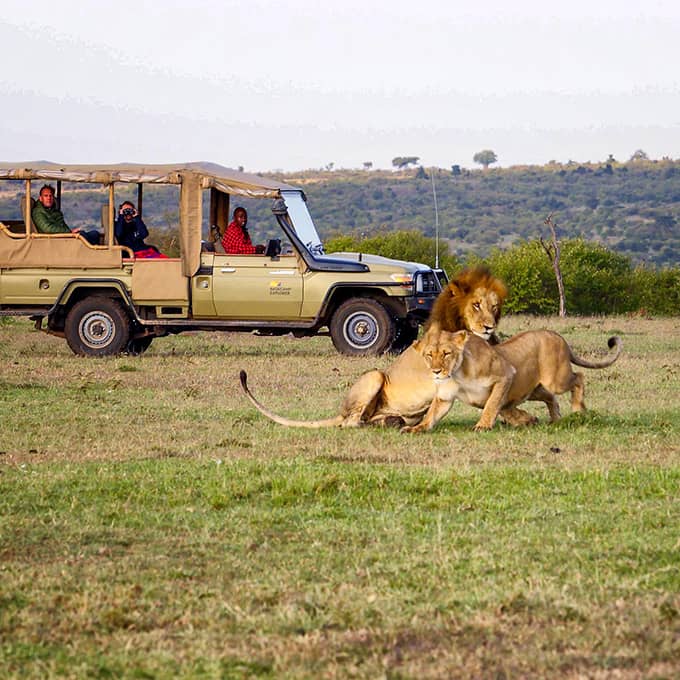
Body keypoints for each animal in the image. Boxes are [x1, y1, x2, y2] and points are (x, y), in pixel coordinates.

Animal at [402, 326, 624, 432]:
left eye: (447, 353)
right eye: (429, 355)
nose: (436, 371)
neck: (456, 374)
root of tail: (558, 336)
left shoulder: (505, 374)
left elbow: (492, 404)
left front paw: (483, 426)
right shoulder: (445, 397)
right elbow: (431, 416)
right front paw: (415, 428)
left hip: (555, 379)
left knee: (579, 377)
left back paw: (578, 410)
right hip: (534, 389)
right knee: (550, 398)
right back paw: (548, 419)